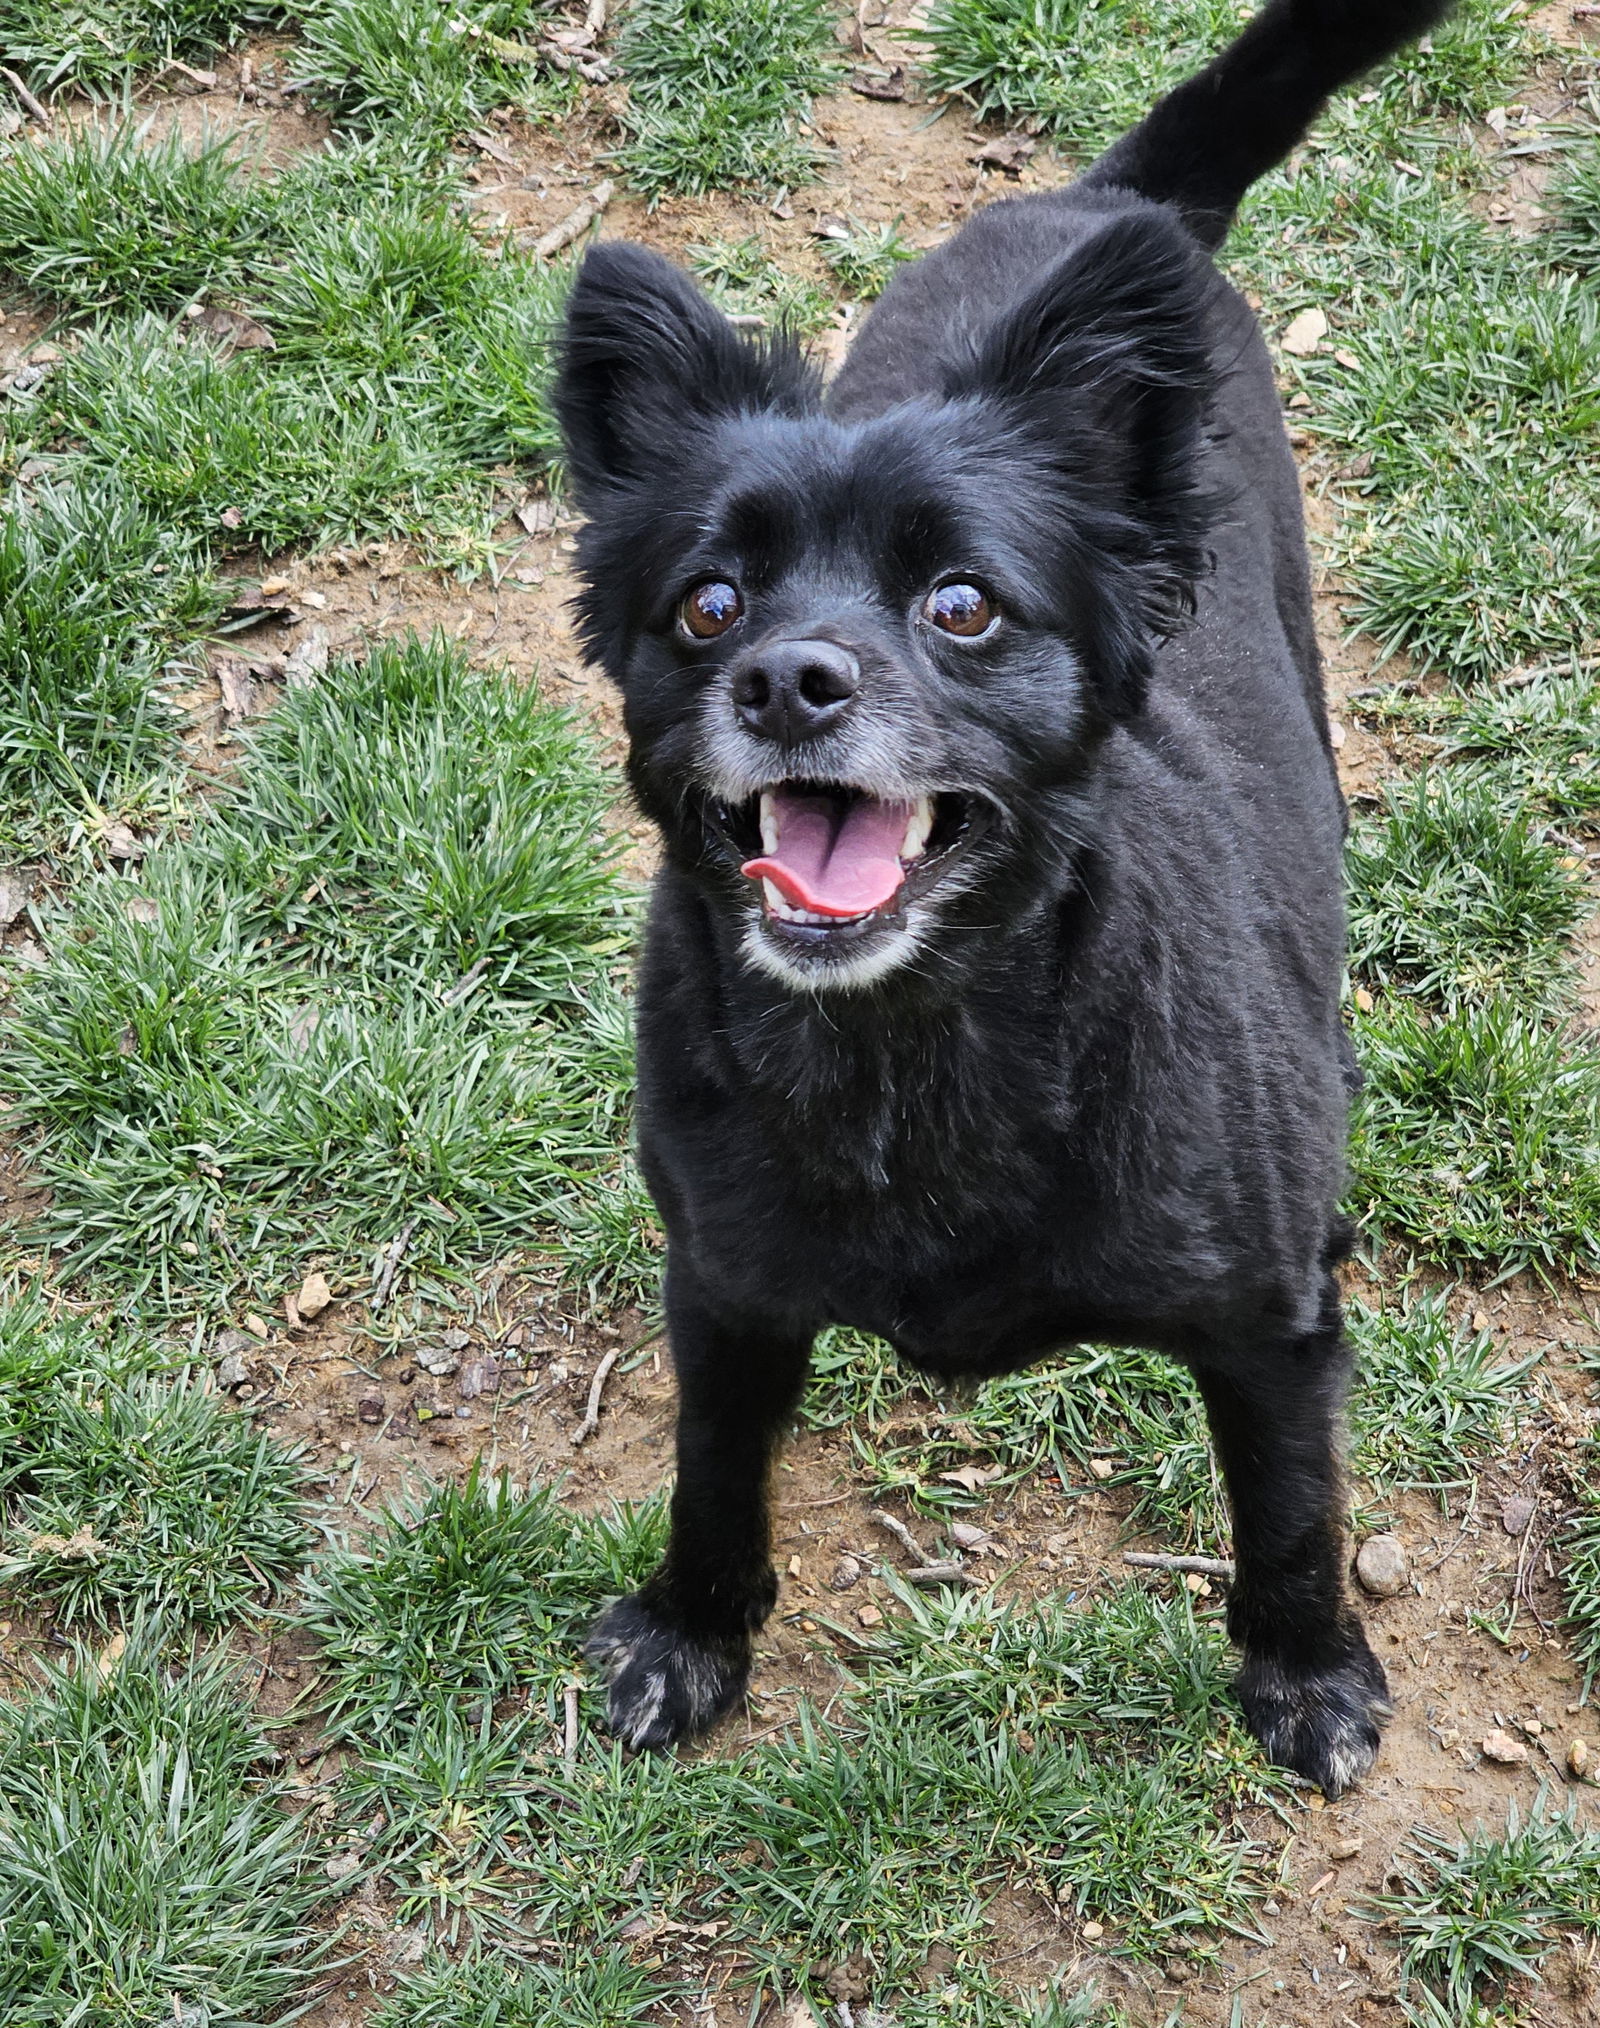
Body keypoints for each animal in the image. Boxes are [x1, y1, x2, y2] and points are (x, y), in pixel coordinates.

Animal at [551, 0, 1451, 1792]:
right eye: (707, 602)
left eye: (963, 603)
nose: (789, 680)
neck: (911, 1048)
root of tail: (1114, 203)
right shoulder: (725, 1294)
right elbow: (709, 1479)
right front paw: (691, 1633)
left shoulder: (1267, 1331)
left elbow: (1293, 1515)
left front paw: (1309, 1671)